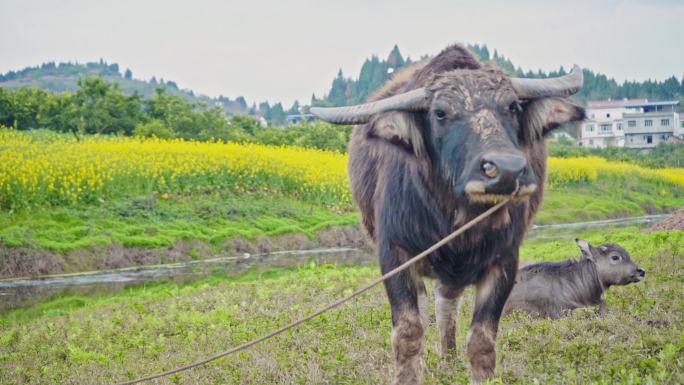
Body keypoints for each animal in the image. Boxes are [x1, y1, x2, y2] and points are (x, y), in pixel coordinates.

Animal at [312, 44, 584, 380]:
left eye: (512, 107)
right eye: (440, 113)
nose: (507, 170)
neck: (455, 215)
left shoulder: (505, 260)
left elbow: (482, 338)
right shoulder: (394, 255)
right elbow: (409, 330)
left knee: (446, 306)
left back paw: (449, 358)